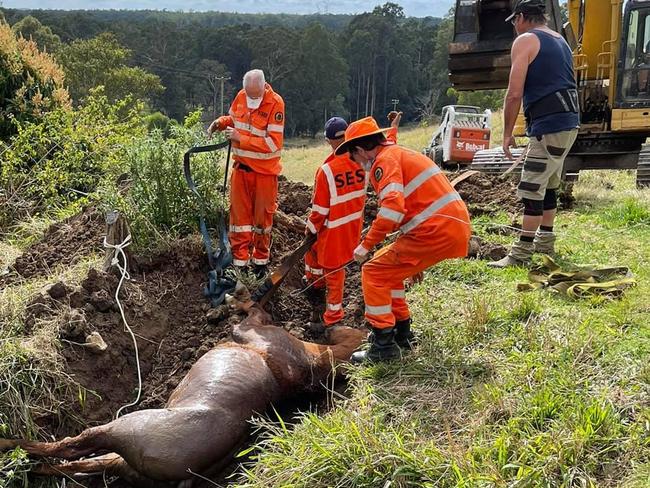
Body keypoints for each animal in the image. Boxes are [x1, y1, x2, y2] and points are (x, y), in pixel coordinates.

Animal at [0, 304, 364, 484]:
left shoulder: (250, 330)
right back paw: (32, 470)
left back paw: (12, 452)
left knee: (67, 448)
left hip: (123, 427)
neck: (313, 361)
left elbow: (252, 311)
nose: (330, 324)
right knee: (78, 463)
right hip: (124, 464)